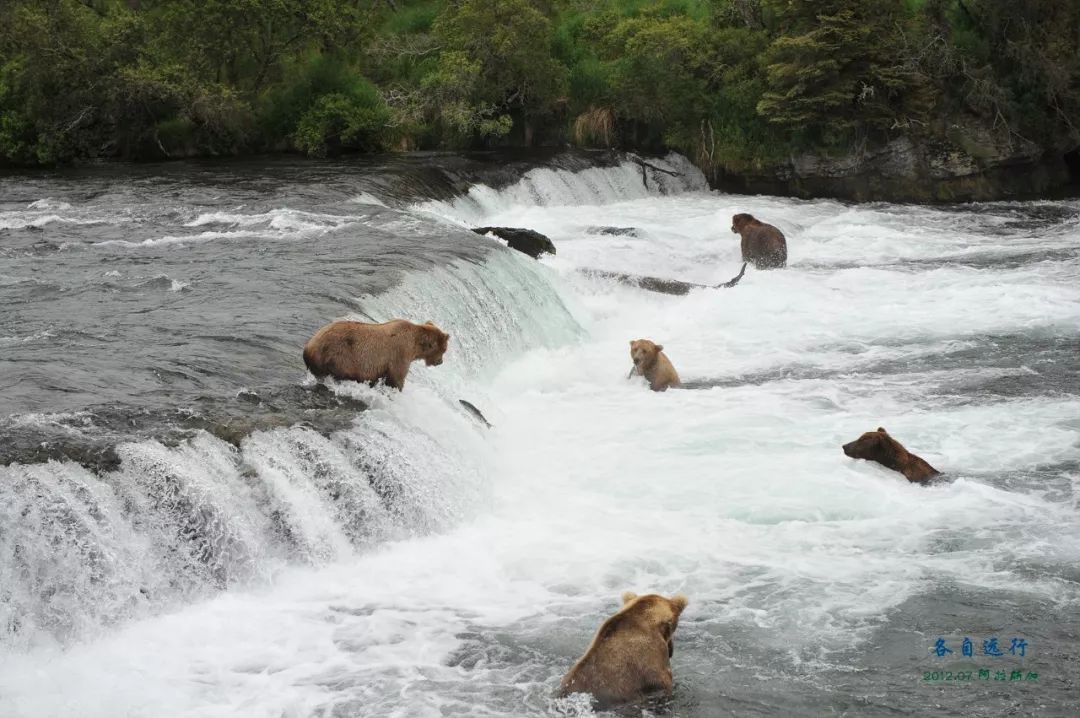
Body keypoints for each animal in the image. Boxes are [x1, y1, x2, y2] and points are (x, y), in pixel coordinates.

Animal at [302, 319, 449, 391]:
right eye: (444, 350)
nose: (440, 362)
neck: (415, 344)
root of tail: (308, 346)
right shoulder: (399, 354)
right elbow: (397, 378)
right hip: (337, 357)